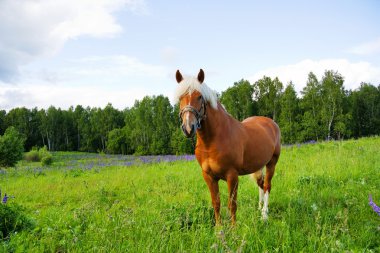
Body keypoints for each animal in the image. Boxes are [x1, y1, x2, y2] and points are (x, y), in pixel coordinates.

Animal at [177, 68, 280, 223]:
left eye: (200, 96)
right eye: (179, 97)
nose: (188, 128)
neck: (212, 142)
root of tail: (271, 123)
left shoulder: (232, 176)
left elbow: (232, 204)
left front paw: (233, 227)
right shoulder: (209, 177)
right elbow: (216, 203)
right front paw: (219, 228)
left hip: (271, 163)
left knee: (267, 186)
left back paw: (264, 215)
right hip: (259, 165)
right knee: (261, 185)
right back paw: (259, 209)